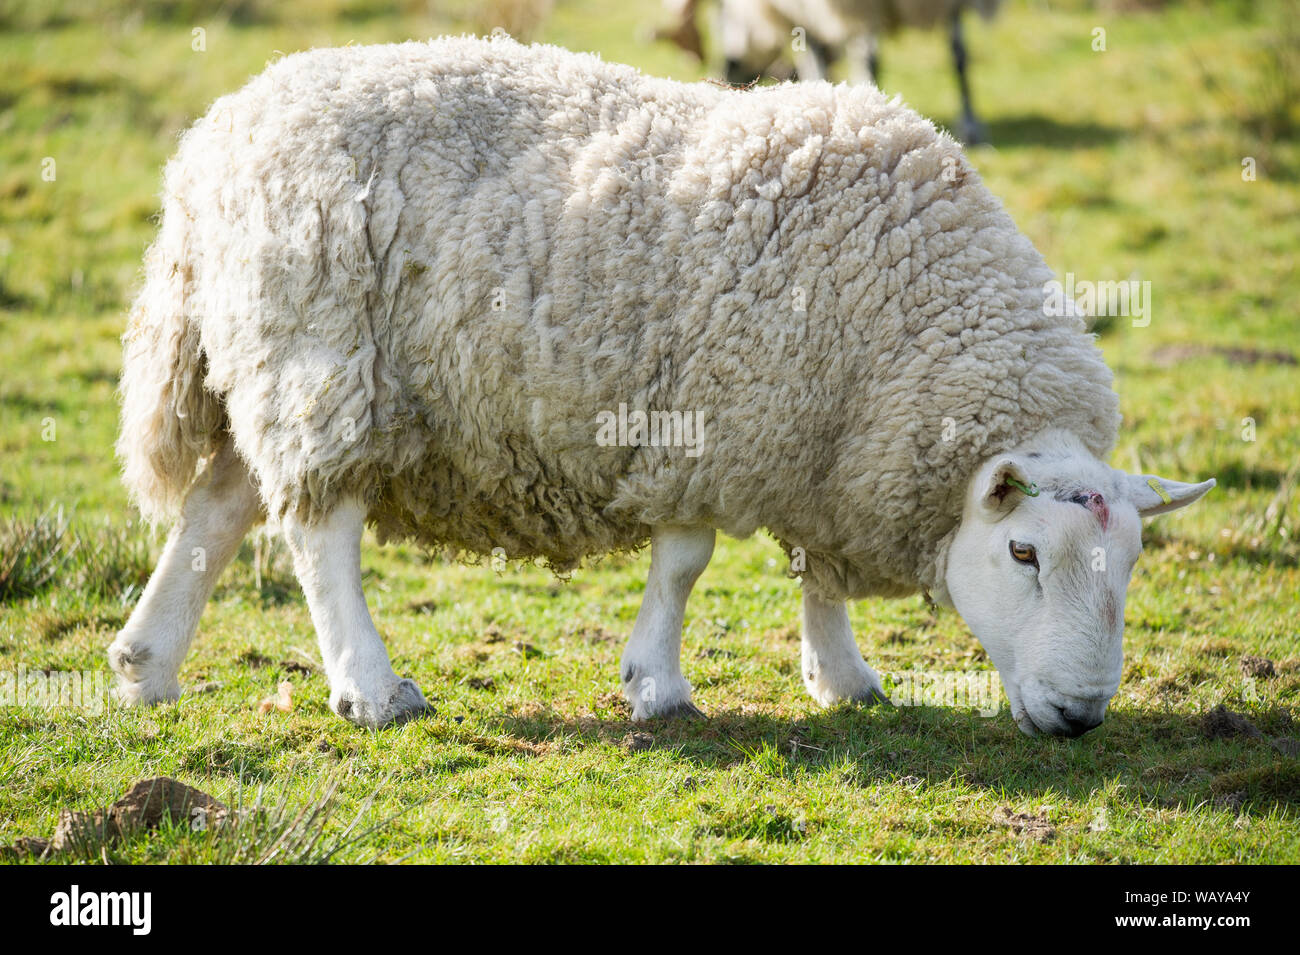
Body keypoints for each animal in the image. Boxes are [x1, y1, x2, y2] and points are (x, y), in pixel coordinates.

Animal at [106, 33, 1211, 738]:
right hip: (321, 361)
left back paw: (146, 665)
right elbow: (686, 562)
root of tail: (207, 144)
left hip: (262, 361)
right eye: (1023, 551)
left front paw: (842, 675)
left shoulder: (820, 437)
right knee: (316, 531)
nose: (1080, 716)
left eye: (1129, 563)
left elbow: (818, 571)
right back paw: (372, 689)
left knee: (216, 506)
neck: (896, 320)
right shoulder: (711, 420)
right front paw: (658, 684)